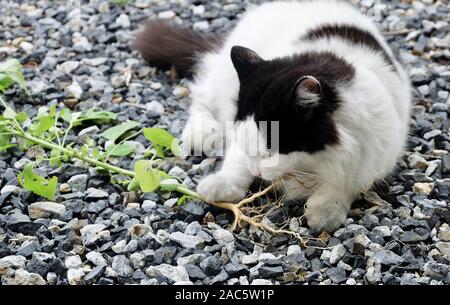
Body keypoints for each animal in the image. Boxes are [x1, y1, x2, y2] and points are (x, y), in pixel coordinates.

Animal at [134, 0, 412, 230]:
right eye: (253, 151)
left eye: (270, 153)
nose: (257, 173)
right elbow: (236, 162)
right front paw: (219, 186)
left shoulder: (374, 153)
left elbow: (345, 184)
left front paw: (323, 214)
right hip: (223, 76)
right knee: (202, 92)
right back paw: (202, 134)